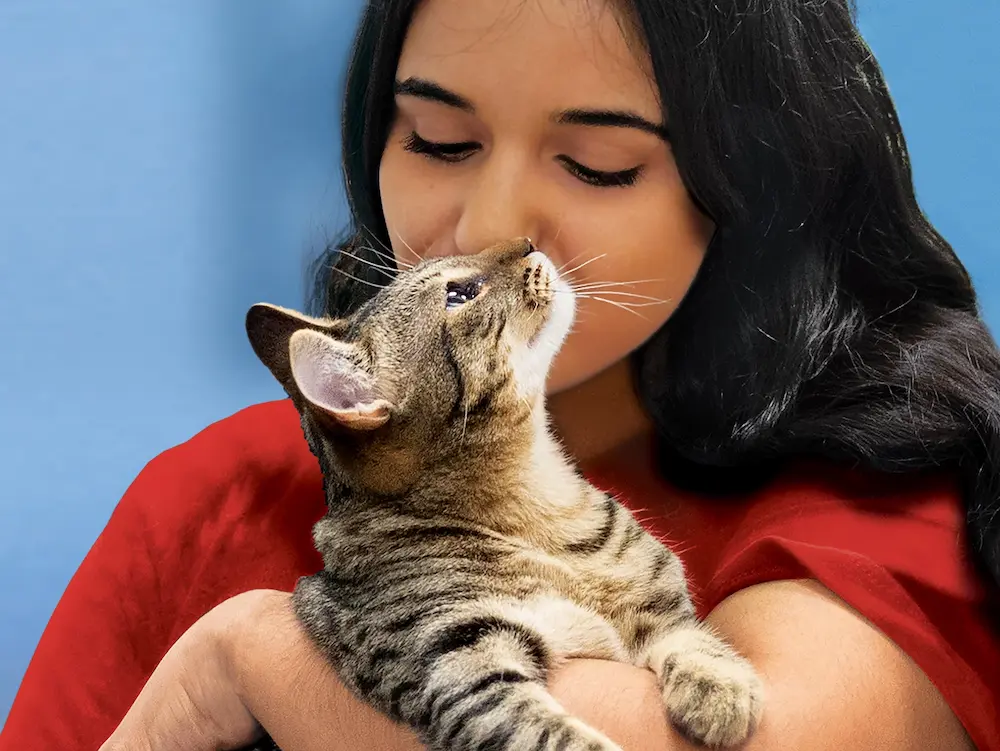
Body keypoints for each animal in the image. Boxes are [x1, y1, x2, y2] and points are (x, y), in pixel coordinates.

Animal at [246, 238, 760, 748]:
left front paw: (722, 689)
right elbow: (550, 736)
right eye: (459, 294)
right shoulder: (456, 662)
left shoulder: (662, 609)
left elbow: (694, 641)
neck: (543, 508)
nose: (527, 241)